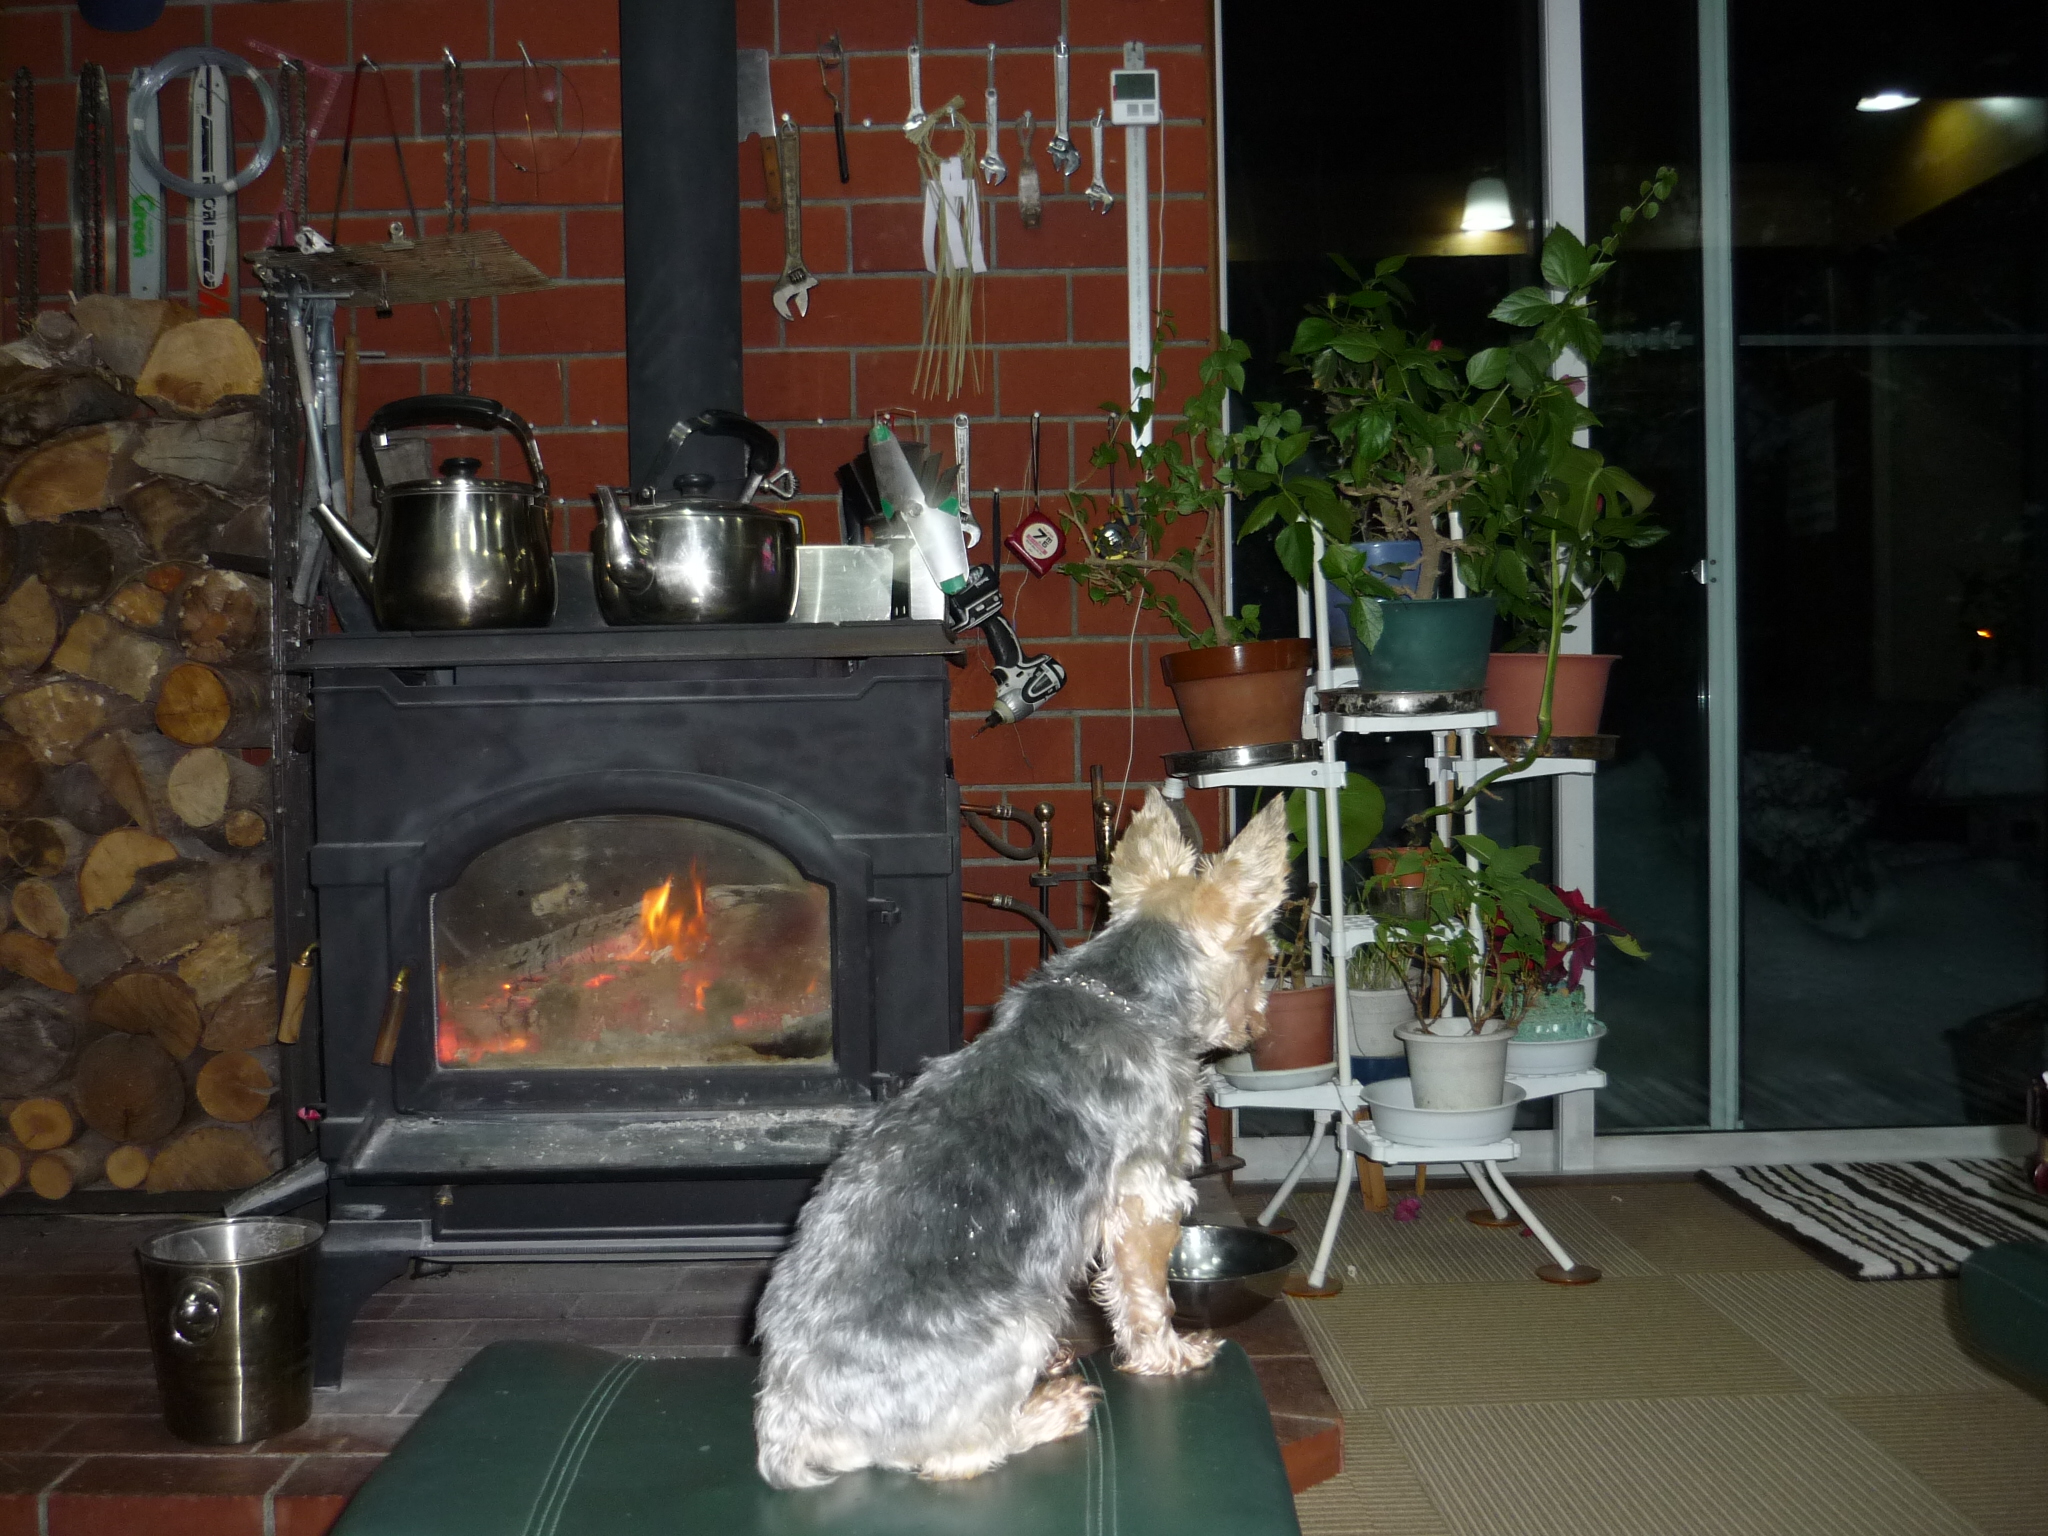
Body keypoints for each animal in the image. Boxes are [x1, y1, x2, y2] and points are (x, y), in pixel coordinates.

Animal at [752, 792, 1292, 1488]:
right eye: (1265, 955)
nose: (1257, 1027)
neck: (1130, 994)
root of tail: (792, 1424)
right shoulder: (1147, 1193)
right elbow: (1146, 1293)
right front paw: (1169, 1354)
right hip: (1020, 1319)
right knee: (959, 1455)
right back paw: (1051, 1411)